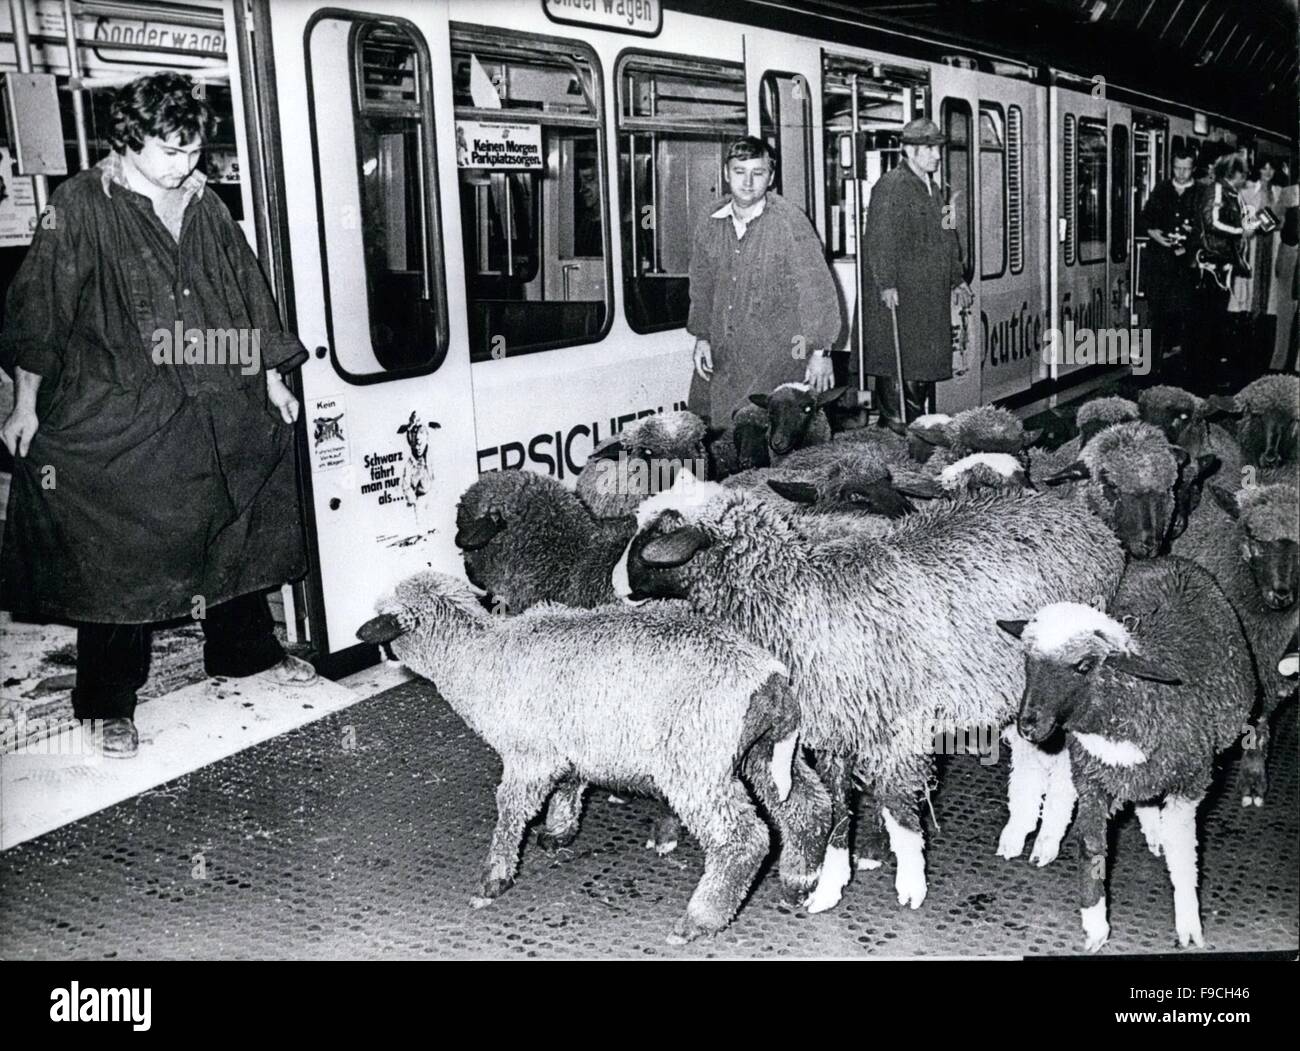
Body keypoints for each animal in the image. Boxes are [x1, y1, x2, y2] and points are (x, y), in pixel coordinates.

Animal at [356, 574, 832, 941]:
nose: (374, 651)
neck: (474, 657)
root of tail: (769, 680)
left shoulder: (529, 753)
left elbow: (510, 811)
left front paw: (494, 878)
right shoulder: (569, 744)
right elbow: (569, 786)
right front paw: (558, 832)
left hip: (696, 764)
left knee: (744, 839)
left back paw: (700, 920)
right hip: (764, 754)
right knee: (810, 807)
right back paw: (799, 882)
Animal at [613, 476, 1123, 910]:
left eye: (652, 538)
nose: (616, 587)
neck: (799, 599)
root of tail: (1088, 522)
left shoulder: (896, 730)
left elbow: (899, 812)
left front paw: (911, 884)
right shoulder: (837, 729)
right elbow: (839, 808)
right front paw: (830, 886)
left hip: (1062, 684)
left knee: (1063, 767)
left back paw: (1046, 841)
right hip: (1015, 689)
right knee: (1031, 755)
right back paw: (1018, 834)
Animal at [993, 559, 1258, 952]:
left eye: (1084, 665)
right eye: (1028, 659)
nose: (1027, 727)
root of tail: (1169, 561)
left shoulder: (1189, 784)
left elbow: (1184, 852)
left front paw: (1188, 923)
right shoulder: (1091, 780)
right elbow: (1090, 847)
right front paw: (1095, 925)